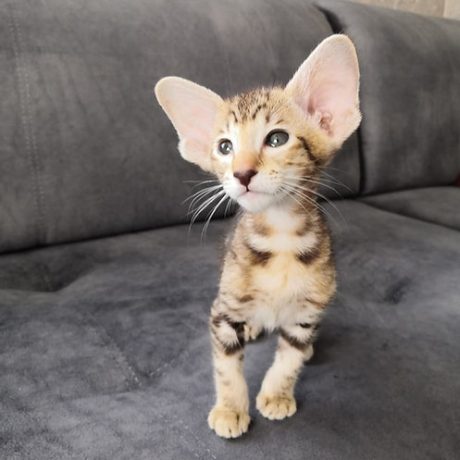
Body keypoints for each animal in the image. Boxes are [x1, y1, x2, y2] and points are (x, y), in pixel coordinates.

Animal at [154, 34, 361, 438]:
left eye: (277, 138)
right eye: (224, 147)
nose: (242, 172)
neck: (280, 239)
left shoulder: (306, 312)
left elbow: (289, 359)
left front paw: (277, 394)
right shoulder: (223, 309)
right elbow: (226, 367)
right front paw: (230, 408)